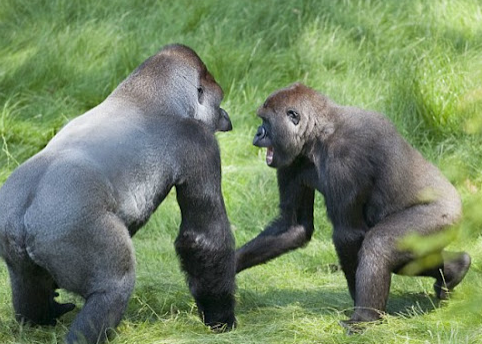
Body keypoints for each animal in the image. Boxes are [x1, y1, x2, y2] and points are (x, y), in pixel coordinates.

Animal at [0, 45, 235, 344]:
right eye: (218, 101)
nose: (226, 117)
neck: (146, 95)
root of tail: (23, 218)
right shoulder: (199, 141)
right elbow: (204, 238)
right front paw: (221, 318)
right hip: (71, 230)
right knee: (113, 288)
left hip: (10, 235)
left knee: (26, 285)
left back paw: (41, 316)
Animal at [237, 82, 470, 328]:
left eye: (265, 122)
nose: (257, 133)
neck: (320, 133)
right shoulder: (291, 160)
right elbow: (293, 225)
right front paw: (228, 266)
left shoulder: (344, 159)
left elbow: (347, 234)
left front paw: (359, 306)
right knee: (410, 259)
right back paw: (456, 268)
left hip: (444, 216)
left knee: (379, 244)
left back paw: (364, 318)